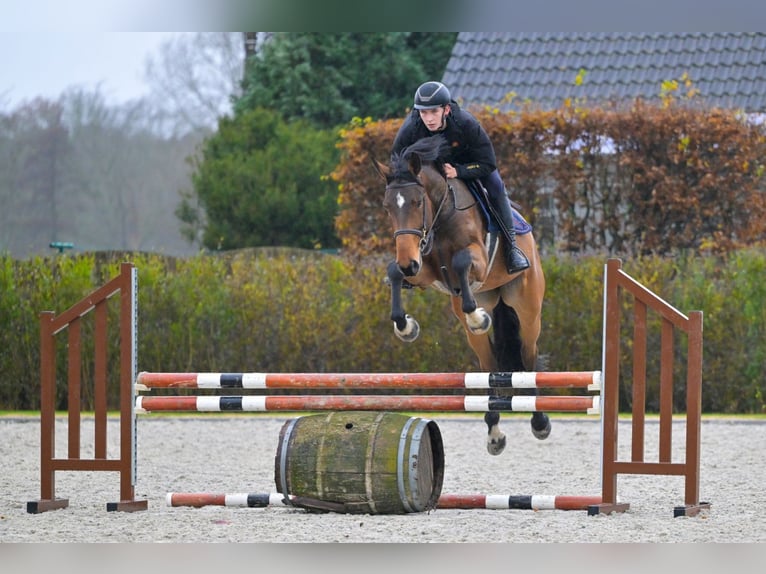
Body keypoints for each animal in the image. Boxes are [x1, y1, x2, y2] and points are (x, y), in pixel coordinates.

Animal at [376, 137, 552, 456]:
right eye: (387, 207)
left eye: (417, 202)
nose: (409, 263)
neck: (441, 214)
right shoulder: (423, 268)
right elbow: (394, 272)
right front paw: (406, 326)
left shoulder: (477, 260)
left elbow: (460, 262)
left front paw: (478, 317)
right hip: (479, 316)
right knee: (490, 366)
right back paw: (494, 434)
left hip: (528, 308)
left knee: (528, 356)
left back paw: (540, 422)